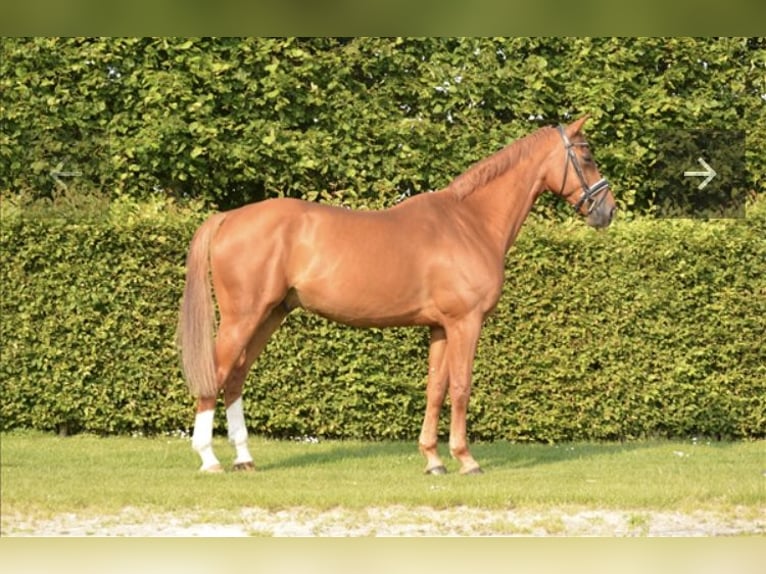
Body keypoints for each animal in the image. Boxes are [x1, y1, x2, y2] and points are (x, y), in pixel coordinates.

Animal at [177, 115, 616, 475]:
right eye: (587, 154)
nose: (607, 210)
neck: (470, 222)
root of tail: (228, 217)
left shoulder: (440, 327)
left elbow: (436, 388)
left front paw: (434, 460)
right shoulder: (465, 323)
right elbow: (462, 386)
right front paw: (466, 459)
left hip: (270, 315)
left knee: (235, 378)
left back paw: (244, 458)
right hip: (242, 317)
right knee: (216, 375)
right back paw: (209, 459)